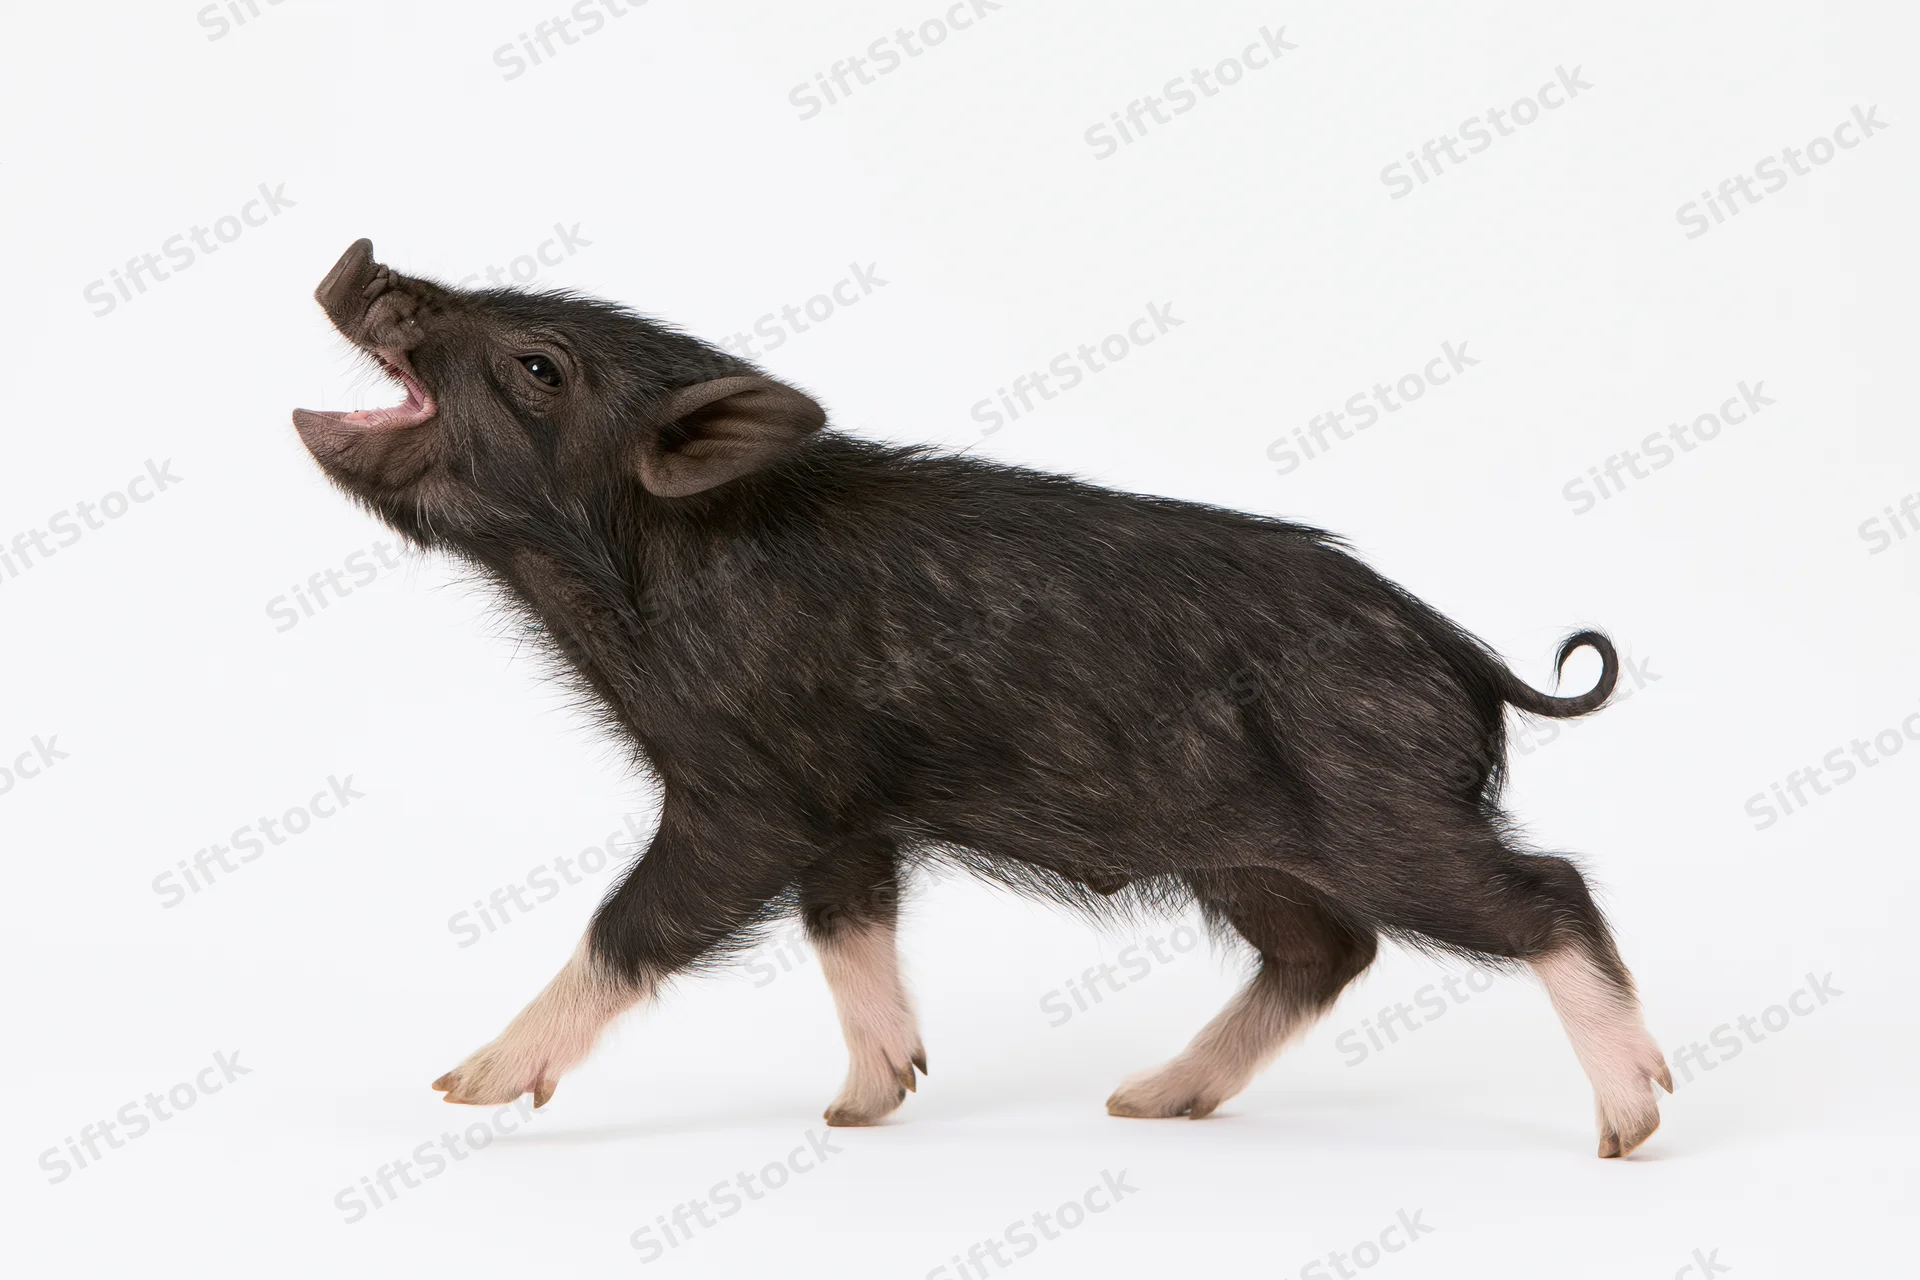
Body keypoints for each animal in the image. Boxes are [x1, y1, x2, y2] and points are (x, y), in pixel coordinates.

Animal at [293, 239, 1669, 1156]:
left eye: (538, 363)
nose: (361, 257)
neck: (630, 587)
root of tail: (1461, 648)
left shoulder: (748, 798)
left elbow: (632, 922)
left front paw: (459, 1086)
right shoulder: (844, 817)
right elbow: (850, 926)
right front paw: (859, 1106)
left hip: (1383, 813)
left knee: (1548, 891)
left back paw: (1627, 1123)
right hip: (1249, 853)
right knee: (1329, 948)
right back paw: (1143, 1100)